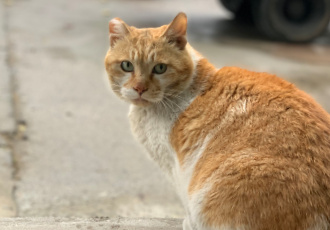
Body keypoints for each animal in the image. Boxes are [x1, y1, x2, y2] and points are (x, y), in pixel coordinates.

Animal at [105, 12, 330, 230]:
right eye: (127, 66)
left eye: (160, 68)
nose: (139, 88)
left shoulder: (176, 165)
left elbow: (184, 196)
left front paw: (189, 222)